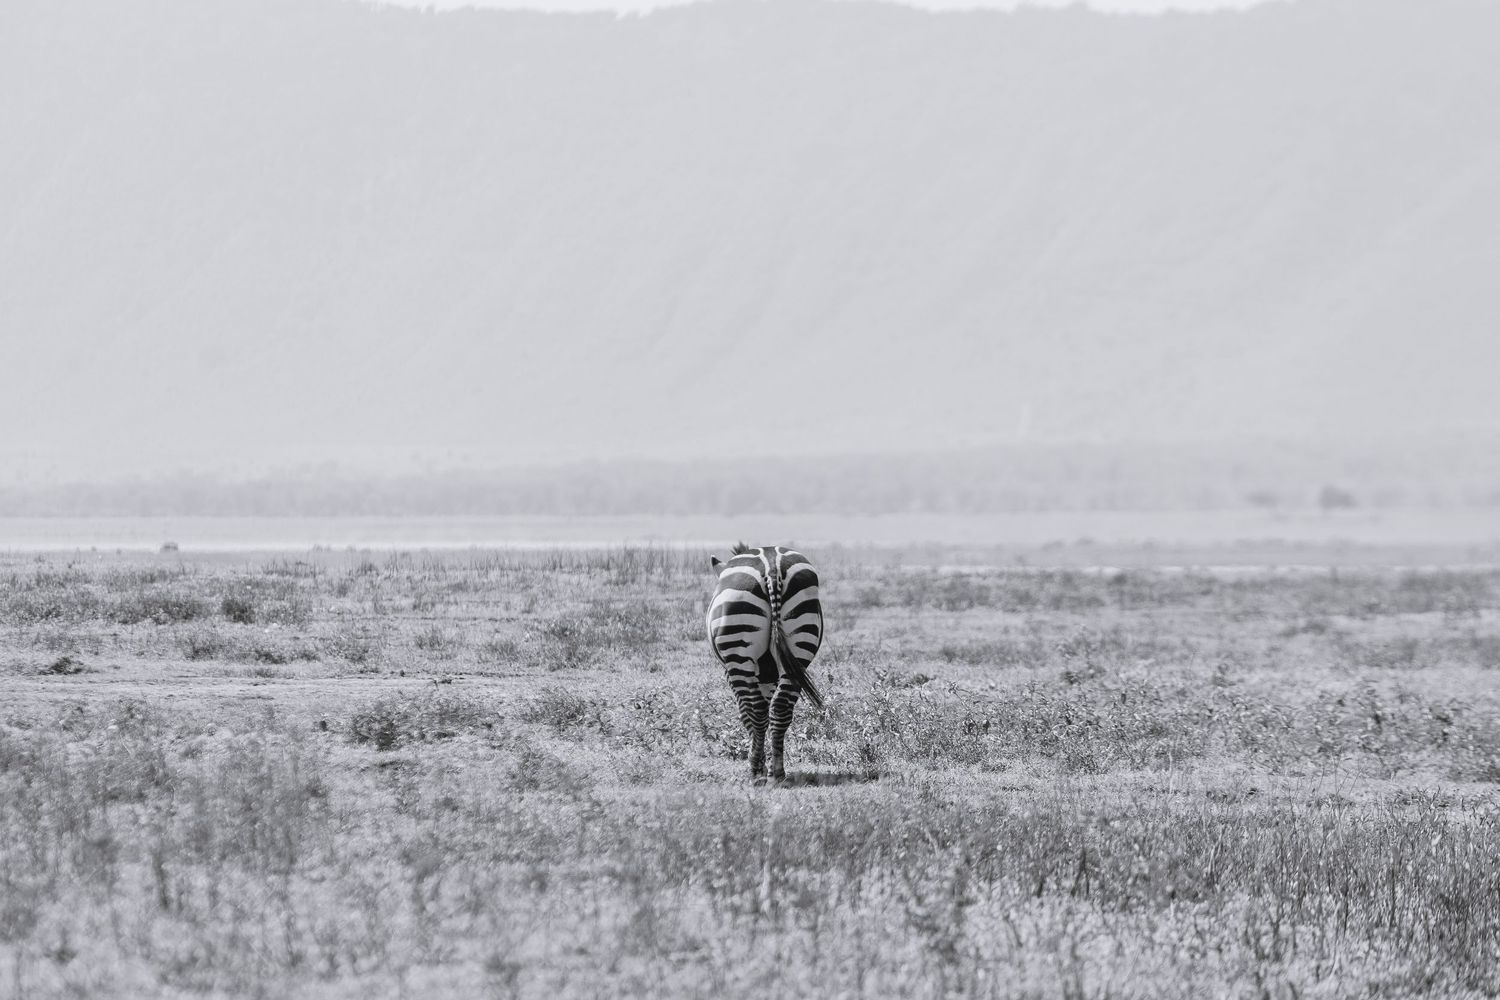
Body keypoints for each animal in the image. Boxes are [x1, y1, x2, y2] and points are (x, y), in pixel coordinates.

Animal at [706, 543, 825, 781]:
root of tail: (772, 567)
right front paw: (765, 761)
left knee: (757, 710)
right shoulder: (768, 674)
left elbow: (745, 713)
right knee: (780, 708)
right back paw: (777, 771)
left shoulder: (730, 671)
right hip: (800, 646)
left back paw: (755, 771)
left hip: (738, 649)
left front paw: (758, 761)